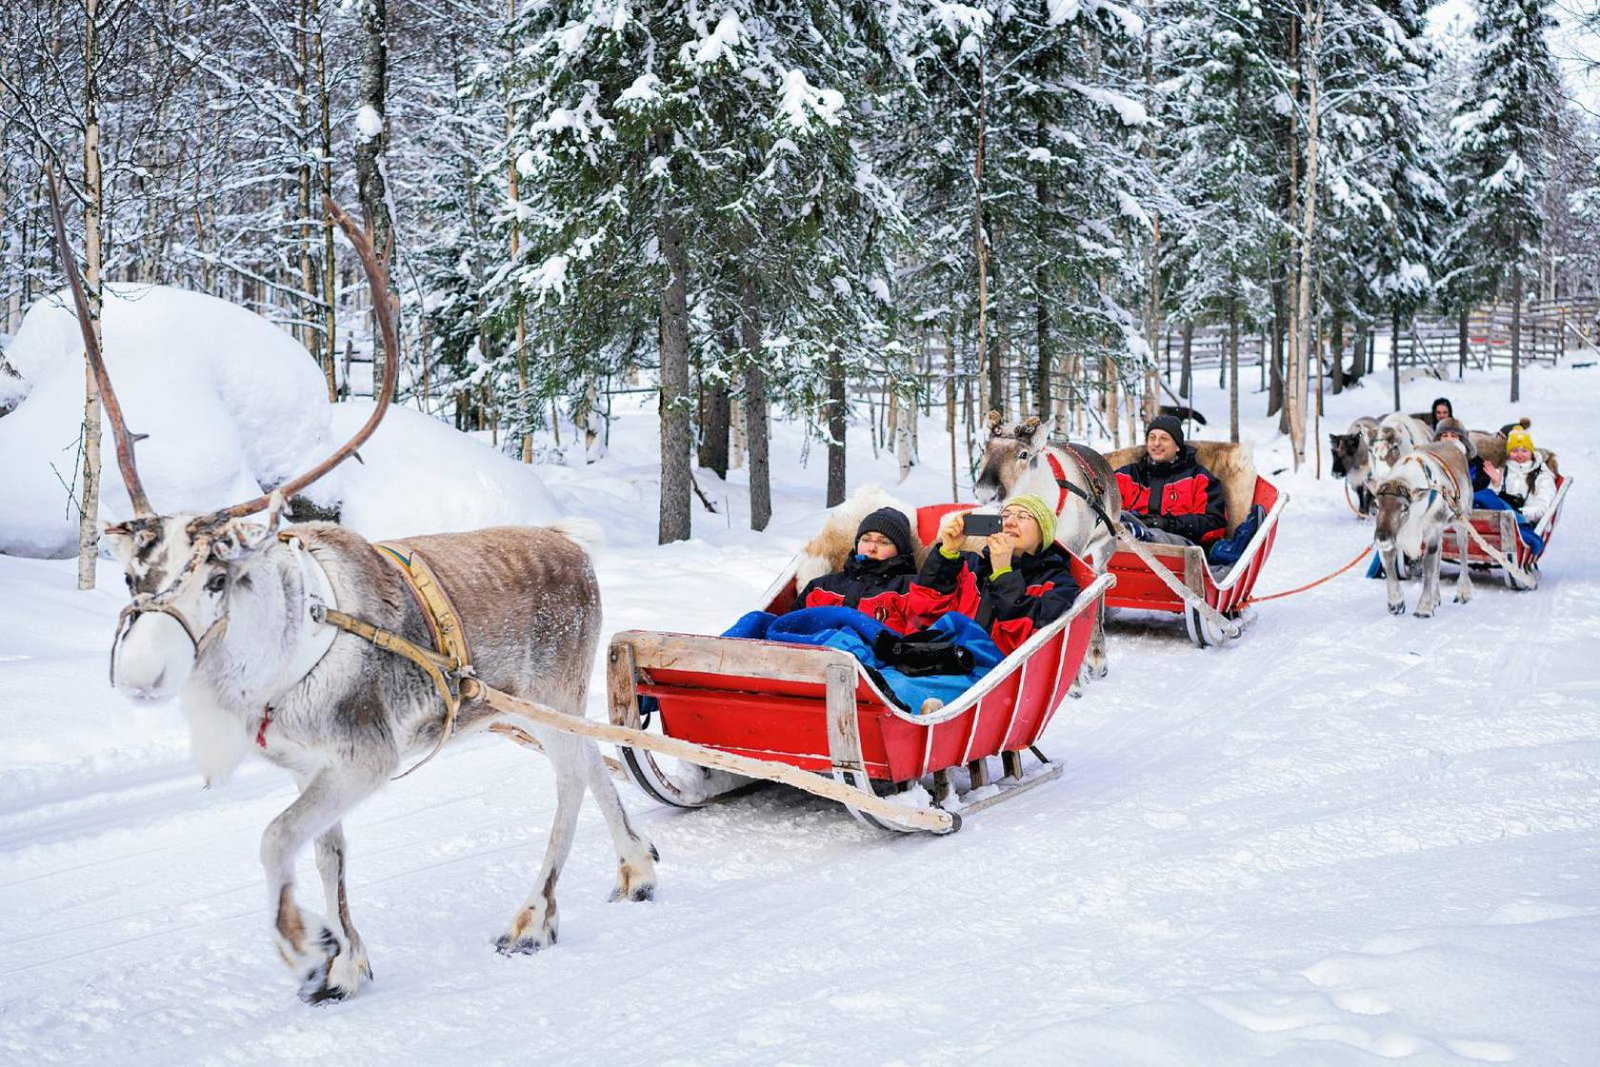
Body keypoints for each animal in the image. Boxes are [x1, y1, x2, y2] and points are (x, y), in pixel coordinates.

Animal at [50, 180, 656, 1004]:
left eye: (218, 577)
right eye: (127, 574)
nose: (141, 674)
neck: (271, 665)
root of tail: (573, 546)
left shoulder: (364, 756)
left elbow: (275, 835)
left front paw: (304, 946)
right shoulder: (314, 766)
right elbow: (327, 853)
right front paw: (343, 959)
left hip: (552, 694)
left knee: (569, 779)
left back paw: (534, 917)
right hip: (525, 709)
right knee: (596, 760)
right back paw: (637, 865)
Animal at [972, 413, 1121, 680]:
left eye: (1023, 454)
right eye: (984, 448)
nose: (985, 492)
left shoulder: (1076, 552)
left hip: (1104, 548)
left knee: (1102, 586)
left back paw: (1096, 656)